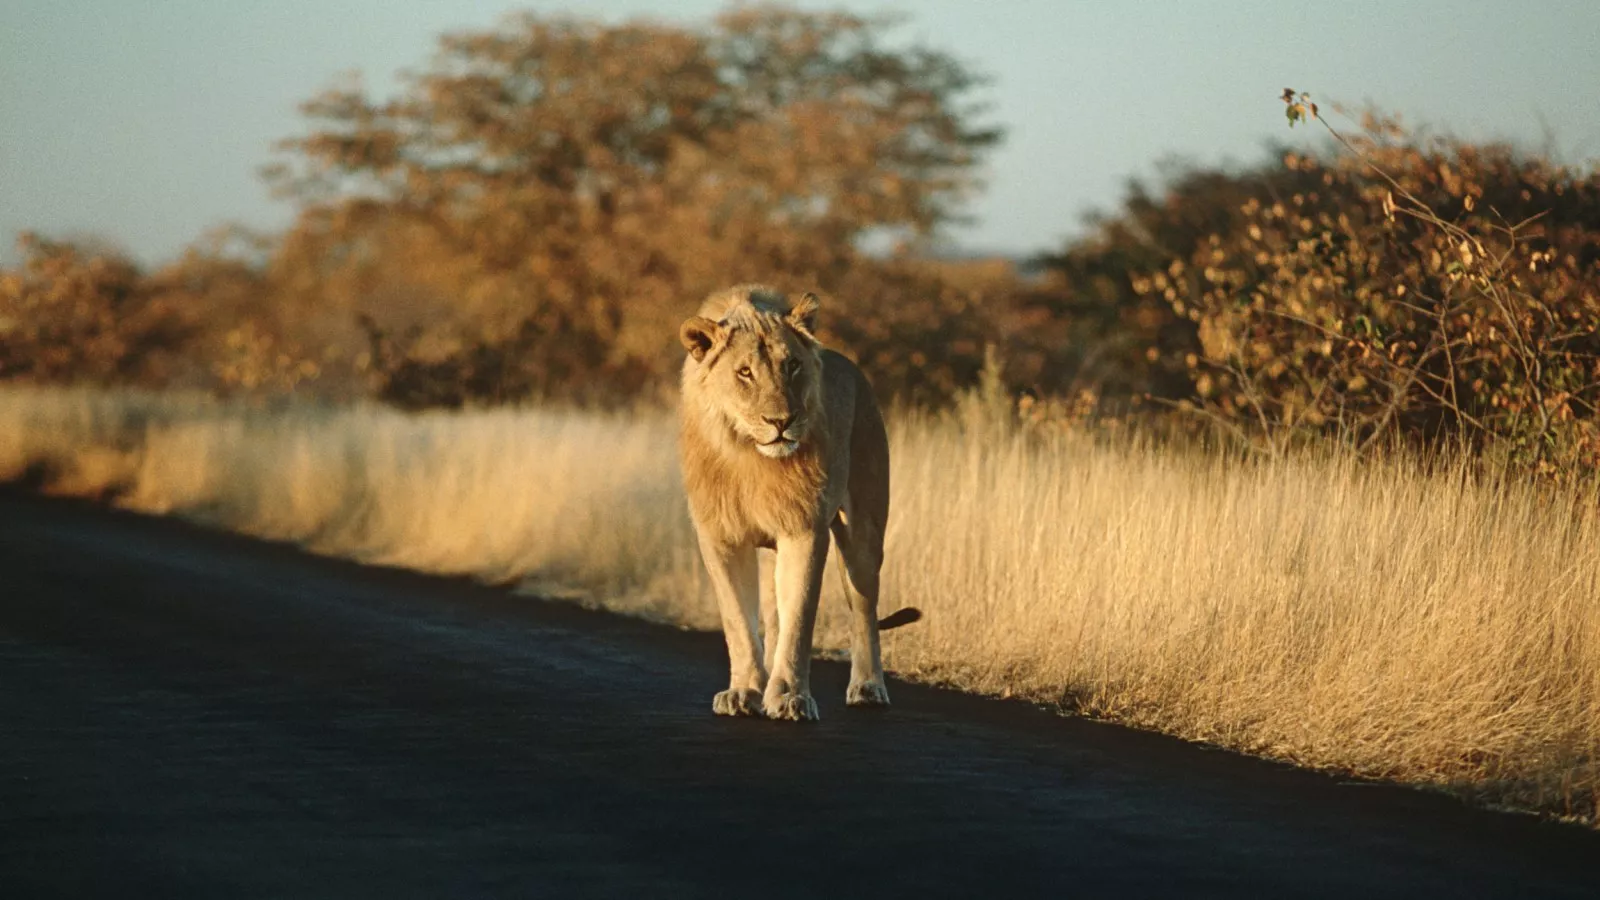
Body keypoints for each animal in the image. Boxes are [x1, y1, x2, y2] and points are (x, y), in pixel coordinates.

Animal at [678, 284, 919, 721]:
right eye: (744, 372)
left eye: (791, 366)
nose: (782, 422)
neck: (750, 456)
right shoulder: (720, 536)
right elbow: (738, 620)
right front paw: (744, 692)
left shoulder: (805, 529)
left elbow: (800, 619)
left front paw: (790, 697)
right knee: (773, 616)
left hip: (864, 534)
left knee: (864, 612)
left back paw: (868, 687)